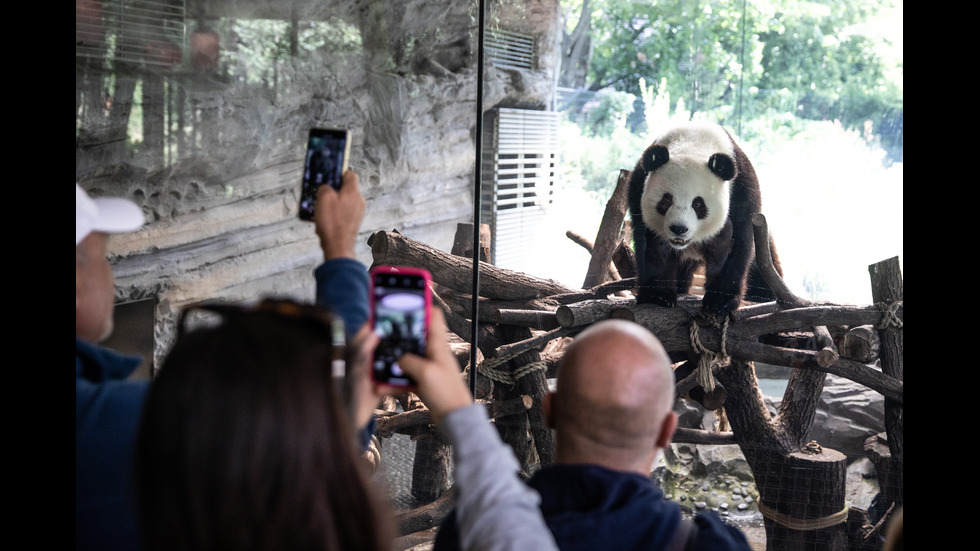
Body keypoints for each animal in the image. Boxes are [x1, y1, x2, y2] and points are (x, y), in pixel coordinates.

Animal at [628, 122, 780, 316]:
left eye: (698, 204)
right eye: (666, 200)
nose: (679, 229)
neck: (692, 142)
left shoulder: (741, 191)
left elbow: (735, 244)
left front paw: (719, 301)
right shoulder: (638, 187)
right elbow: (652, 245)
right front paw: (658, 296)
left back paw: (763, 295)